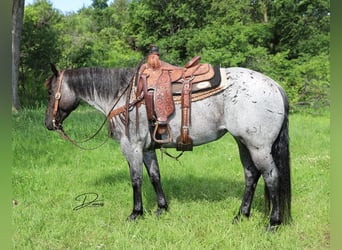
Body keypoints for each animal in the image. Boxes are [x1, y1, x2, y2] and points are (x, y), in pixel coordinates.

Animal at [44, 63, 292, 229]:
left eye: (50, 92)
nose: (48, 124)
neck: (125, 96)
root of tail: (275, 86)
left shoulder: (131, 147)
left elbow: (136, 179)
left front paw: (136, 213)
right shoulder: (147, 149)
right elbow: (155, 176)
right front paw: (161, 208)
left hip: (259, 148)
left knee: (271, 178)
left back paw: (273, 222)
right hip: (243, 144)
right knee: (251, 176)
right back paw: (241, 215)